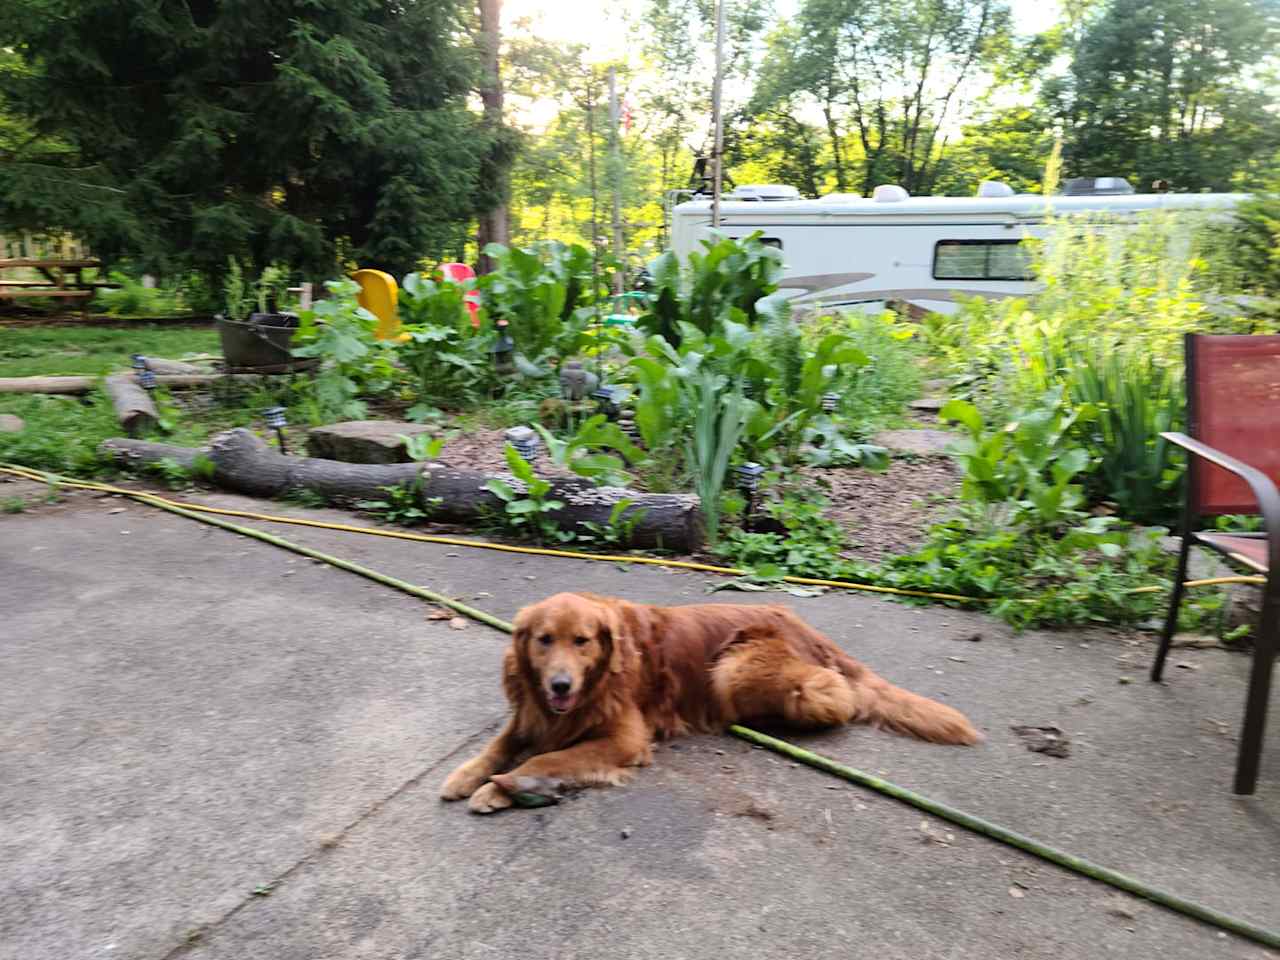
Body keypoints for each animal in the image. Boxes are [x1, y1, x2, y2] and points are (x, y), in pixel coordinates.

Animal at [440, 593, 977, 814]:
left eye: (583, 641)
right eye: (544, 640)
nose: (559, 685)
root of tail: (806, 627)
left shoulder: (625, 738)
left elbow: (546, 759)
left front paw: (498, 789)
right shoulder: (530, 716)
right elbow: (498, 746)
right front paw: (467, 776)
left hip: (736, 666)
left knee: (836, 695)